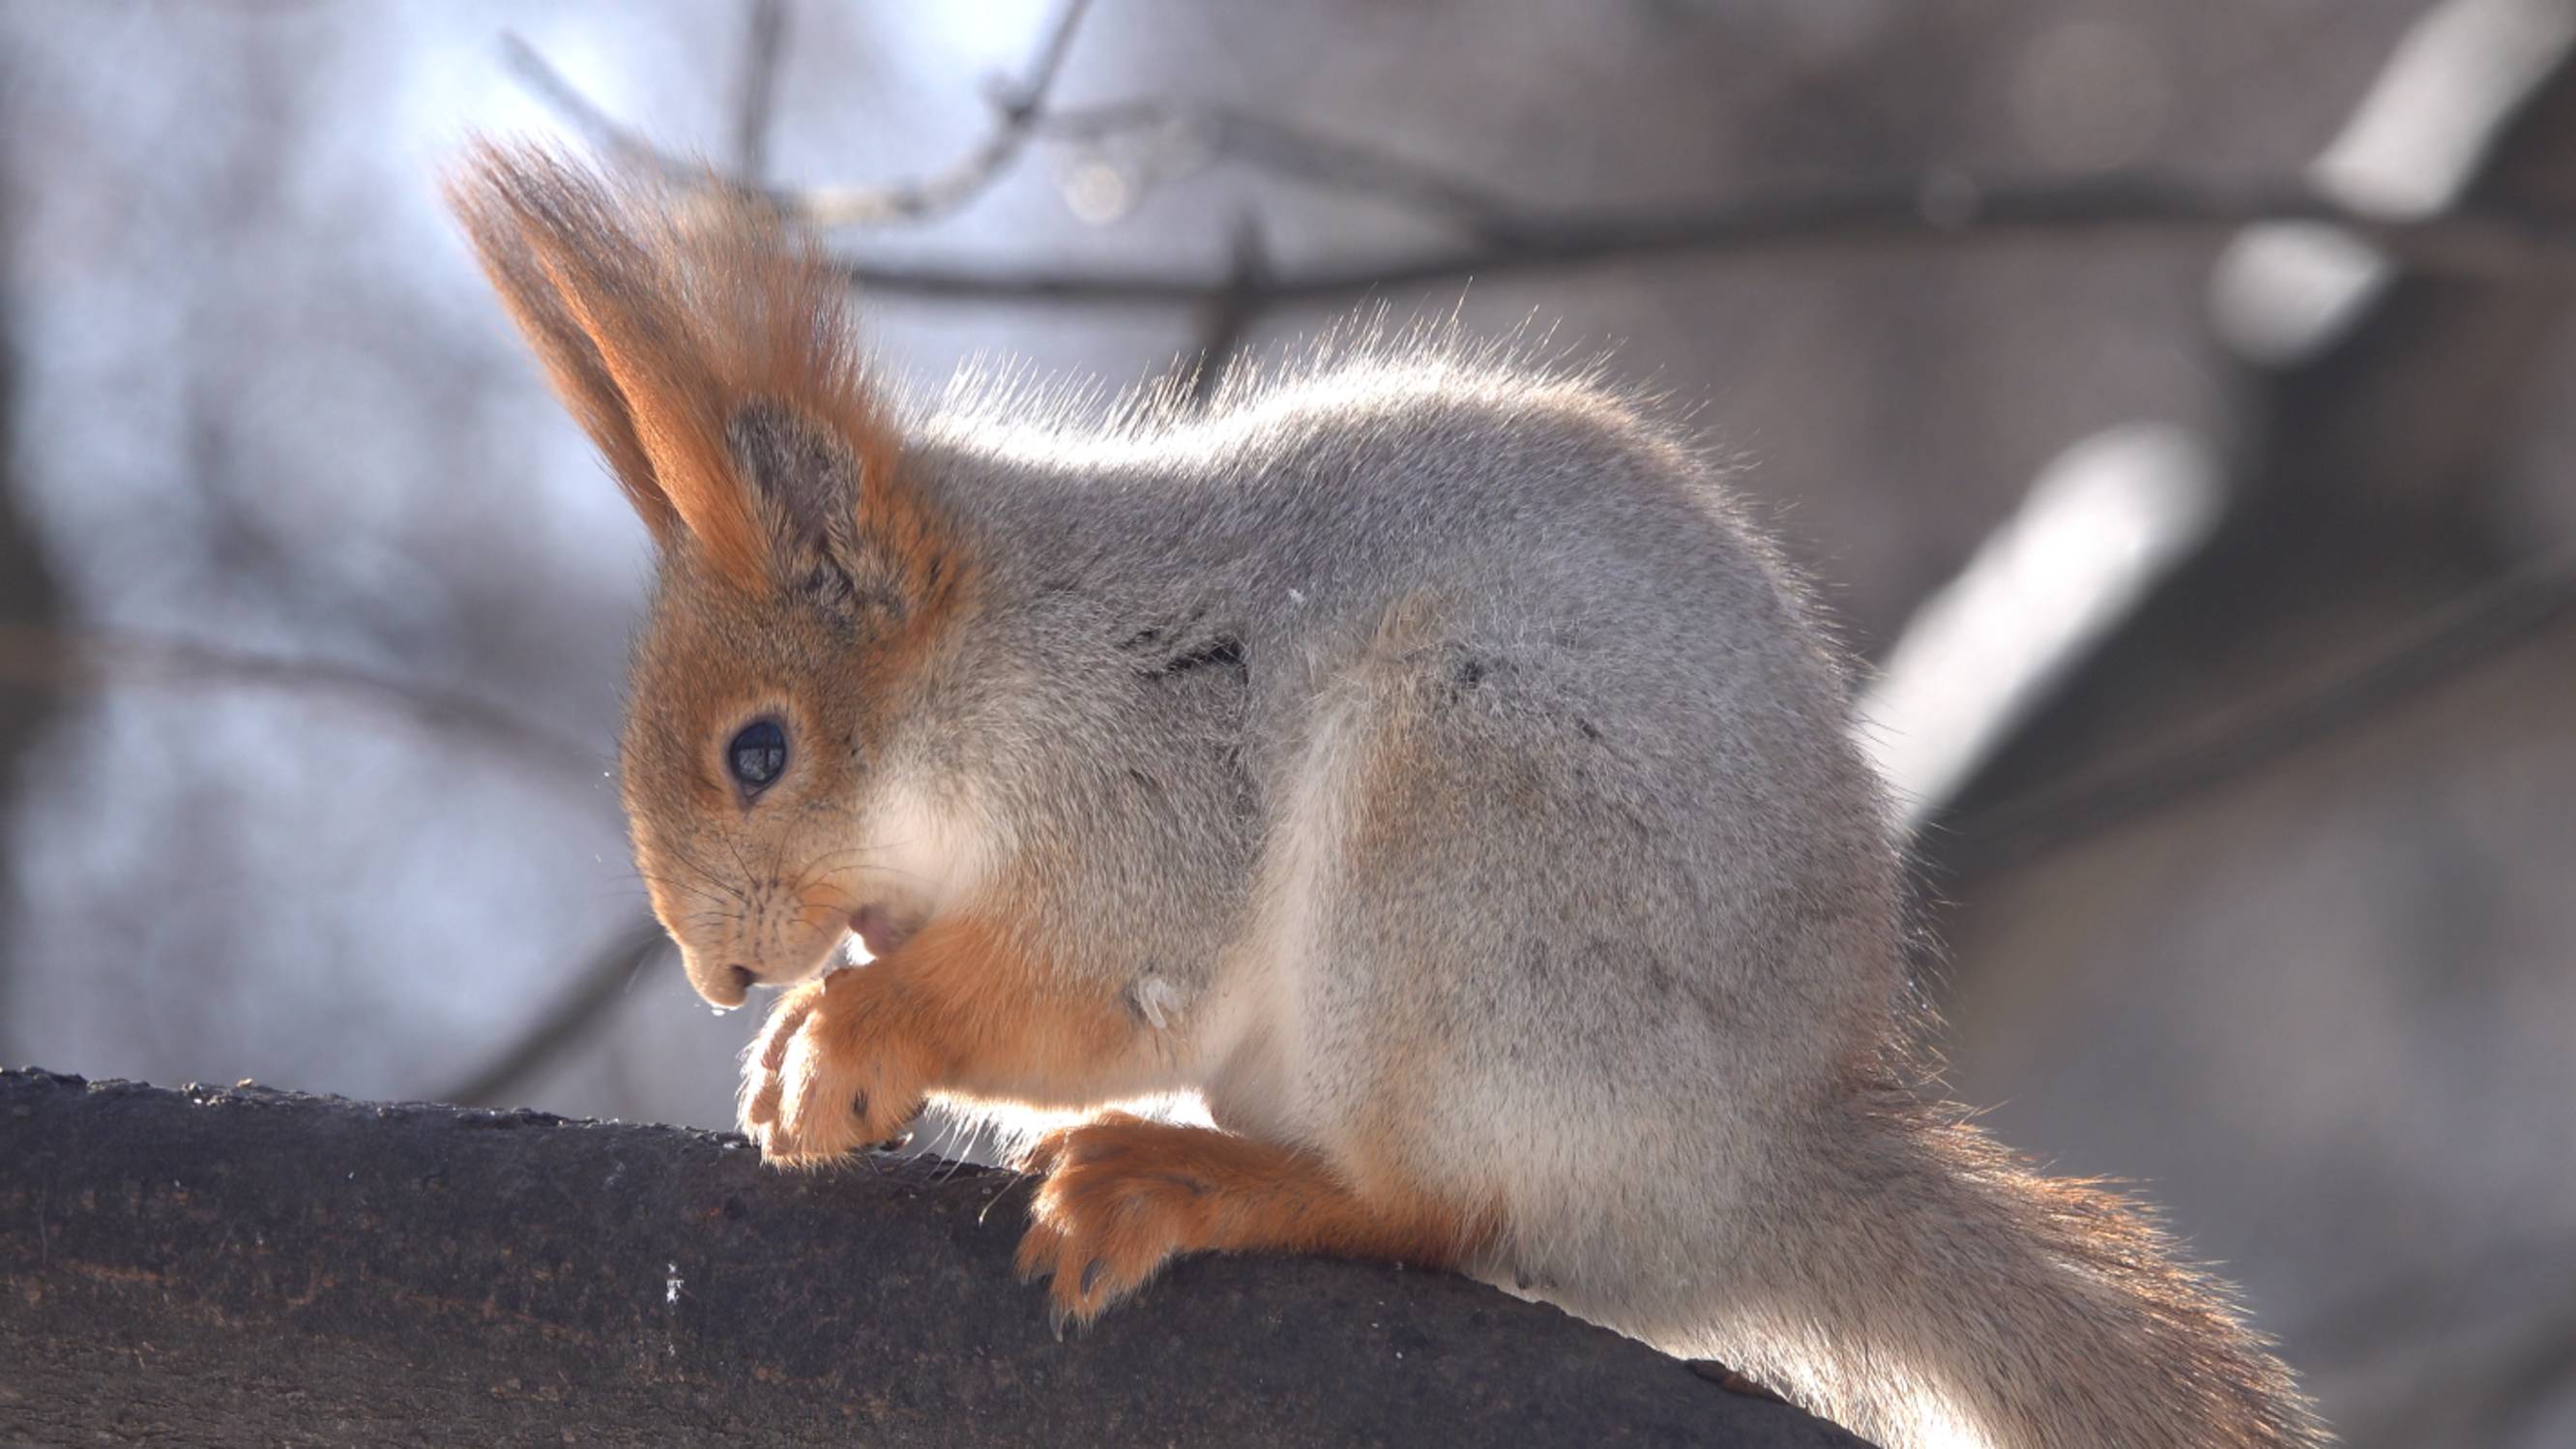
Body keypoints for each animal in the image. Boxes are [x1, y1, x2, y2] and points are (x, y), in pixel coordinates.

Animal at [448, 143, 2338, 1443]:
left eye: (758, 750)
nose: (712, 970)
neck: (998, 653)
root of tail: (1741, 1176)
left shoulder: (1159, 759)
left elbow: (1095, 981)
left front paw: (849, 1037)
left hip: (1463, 853)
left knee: (1440, 1206)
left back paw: (1188, 1181)